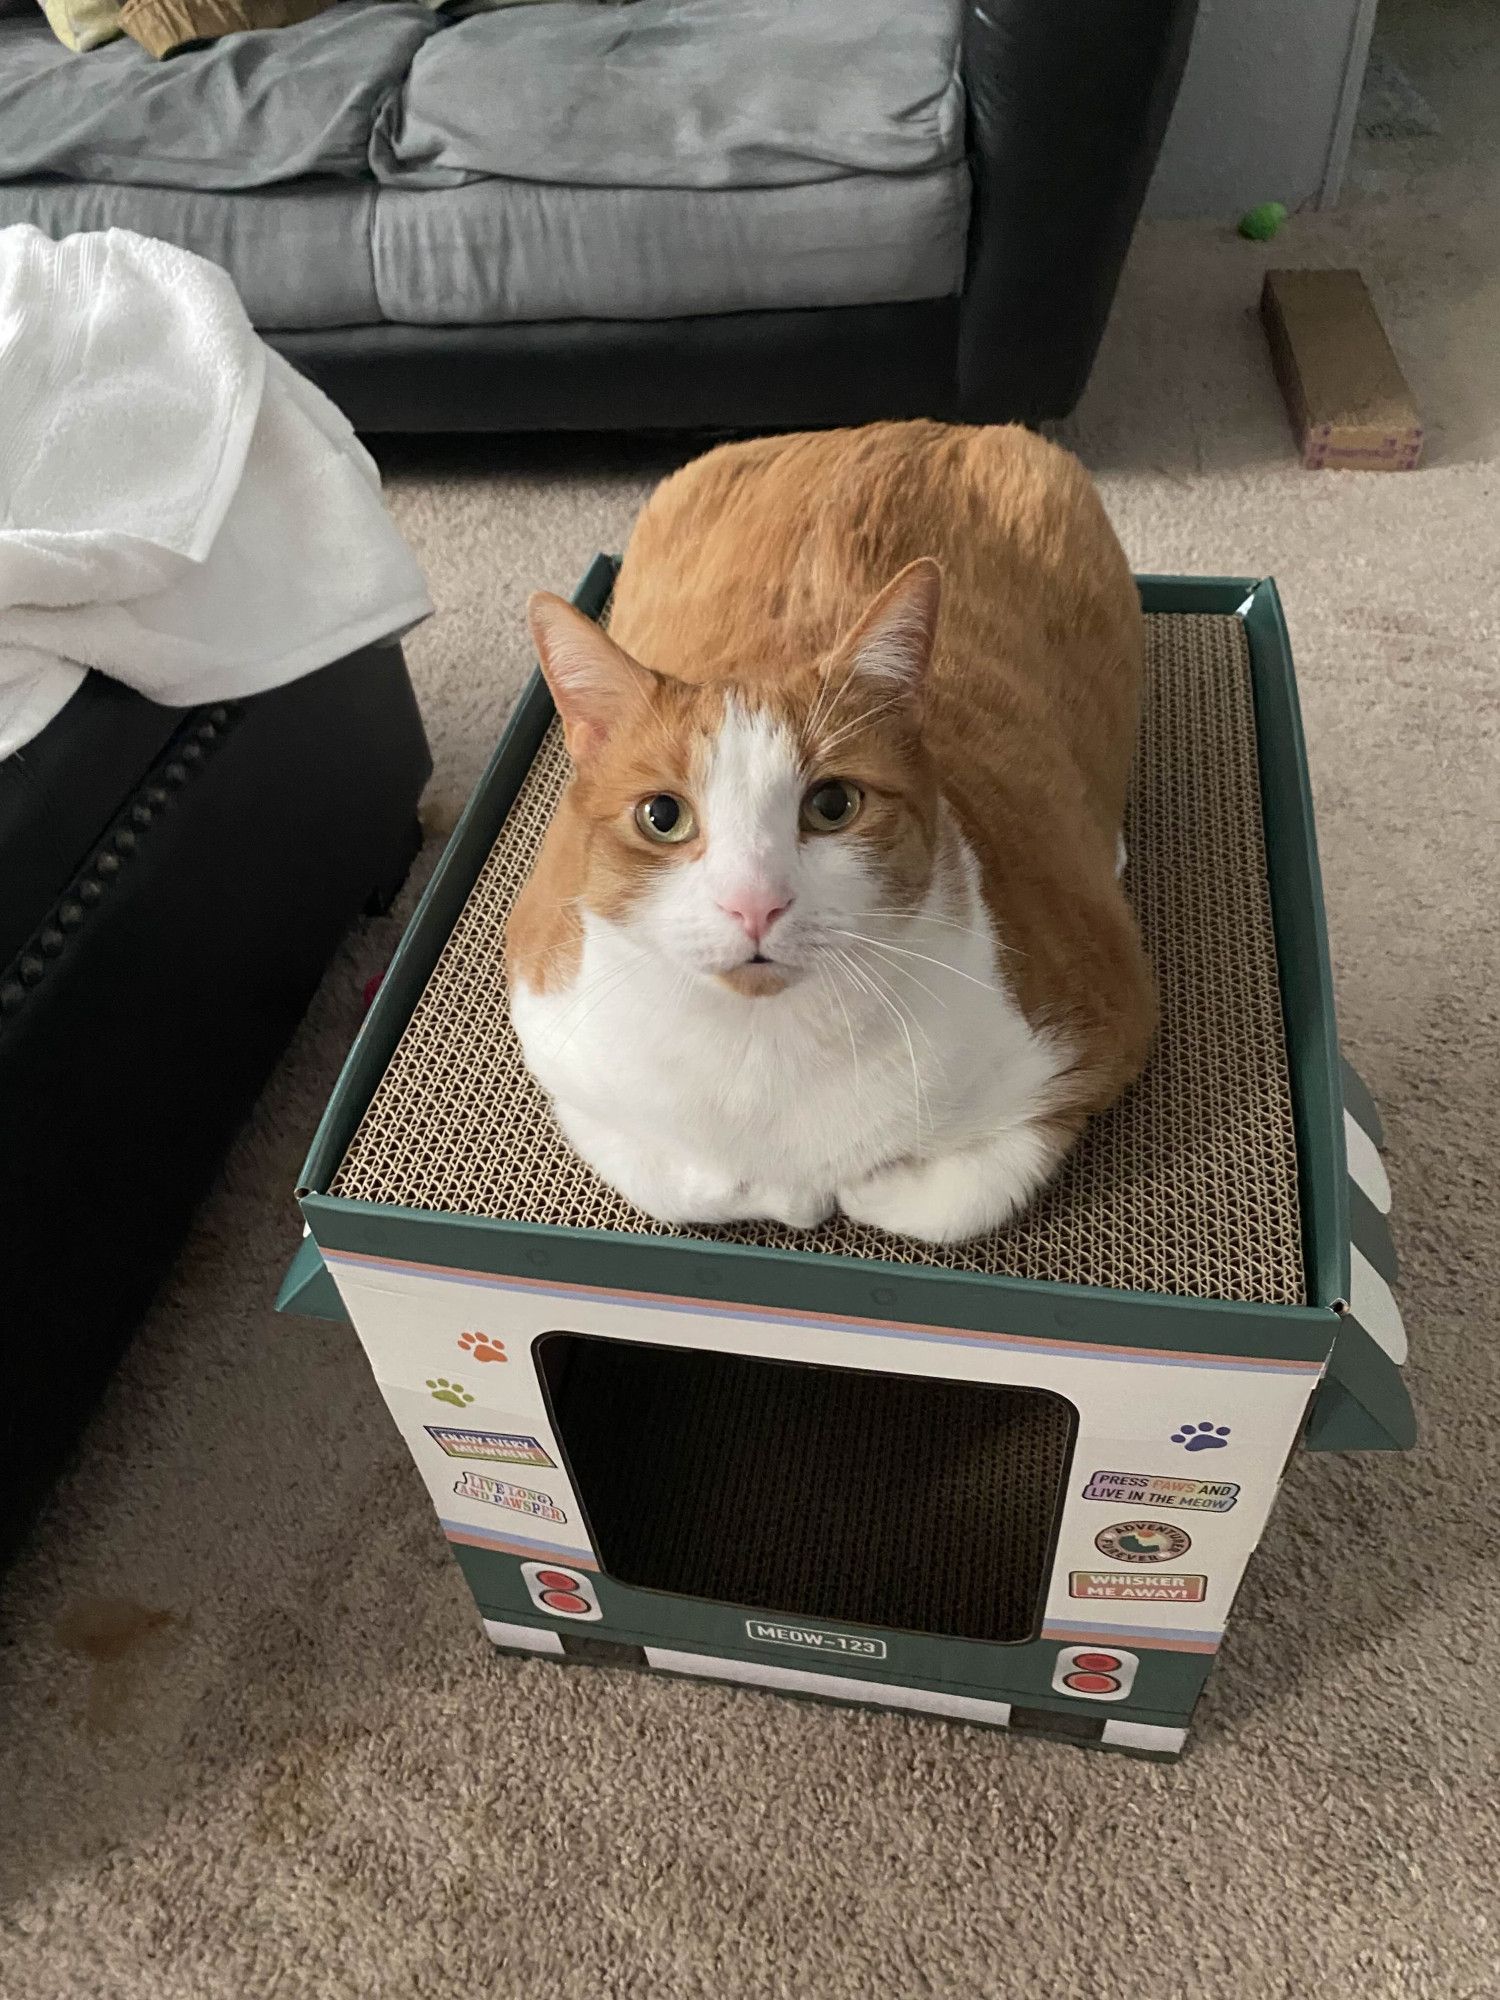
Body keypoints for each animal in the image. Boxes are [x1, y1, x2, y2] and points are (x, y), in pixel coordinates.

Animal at [512, 418, 1160, 1232]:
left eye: (831, 806)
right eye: (663, 816)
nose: (754, 904)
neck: (763, 1057)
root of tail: (921, 427)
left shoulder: (1099, 1035)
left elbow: (941, 1197)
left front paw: (848, 1183)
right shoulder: (554, 1029)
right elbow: (677, 1180)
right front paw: (775, 1188)